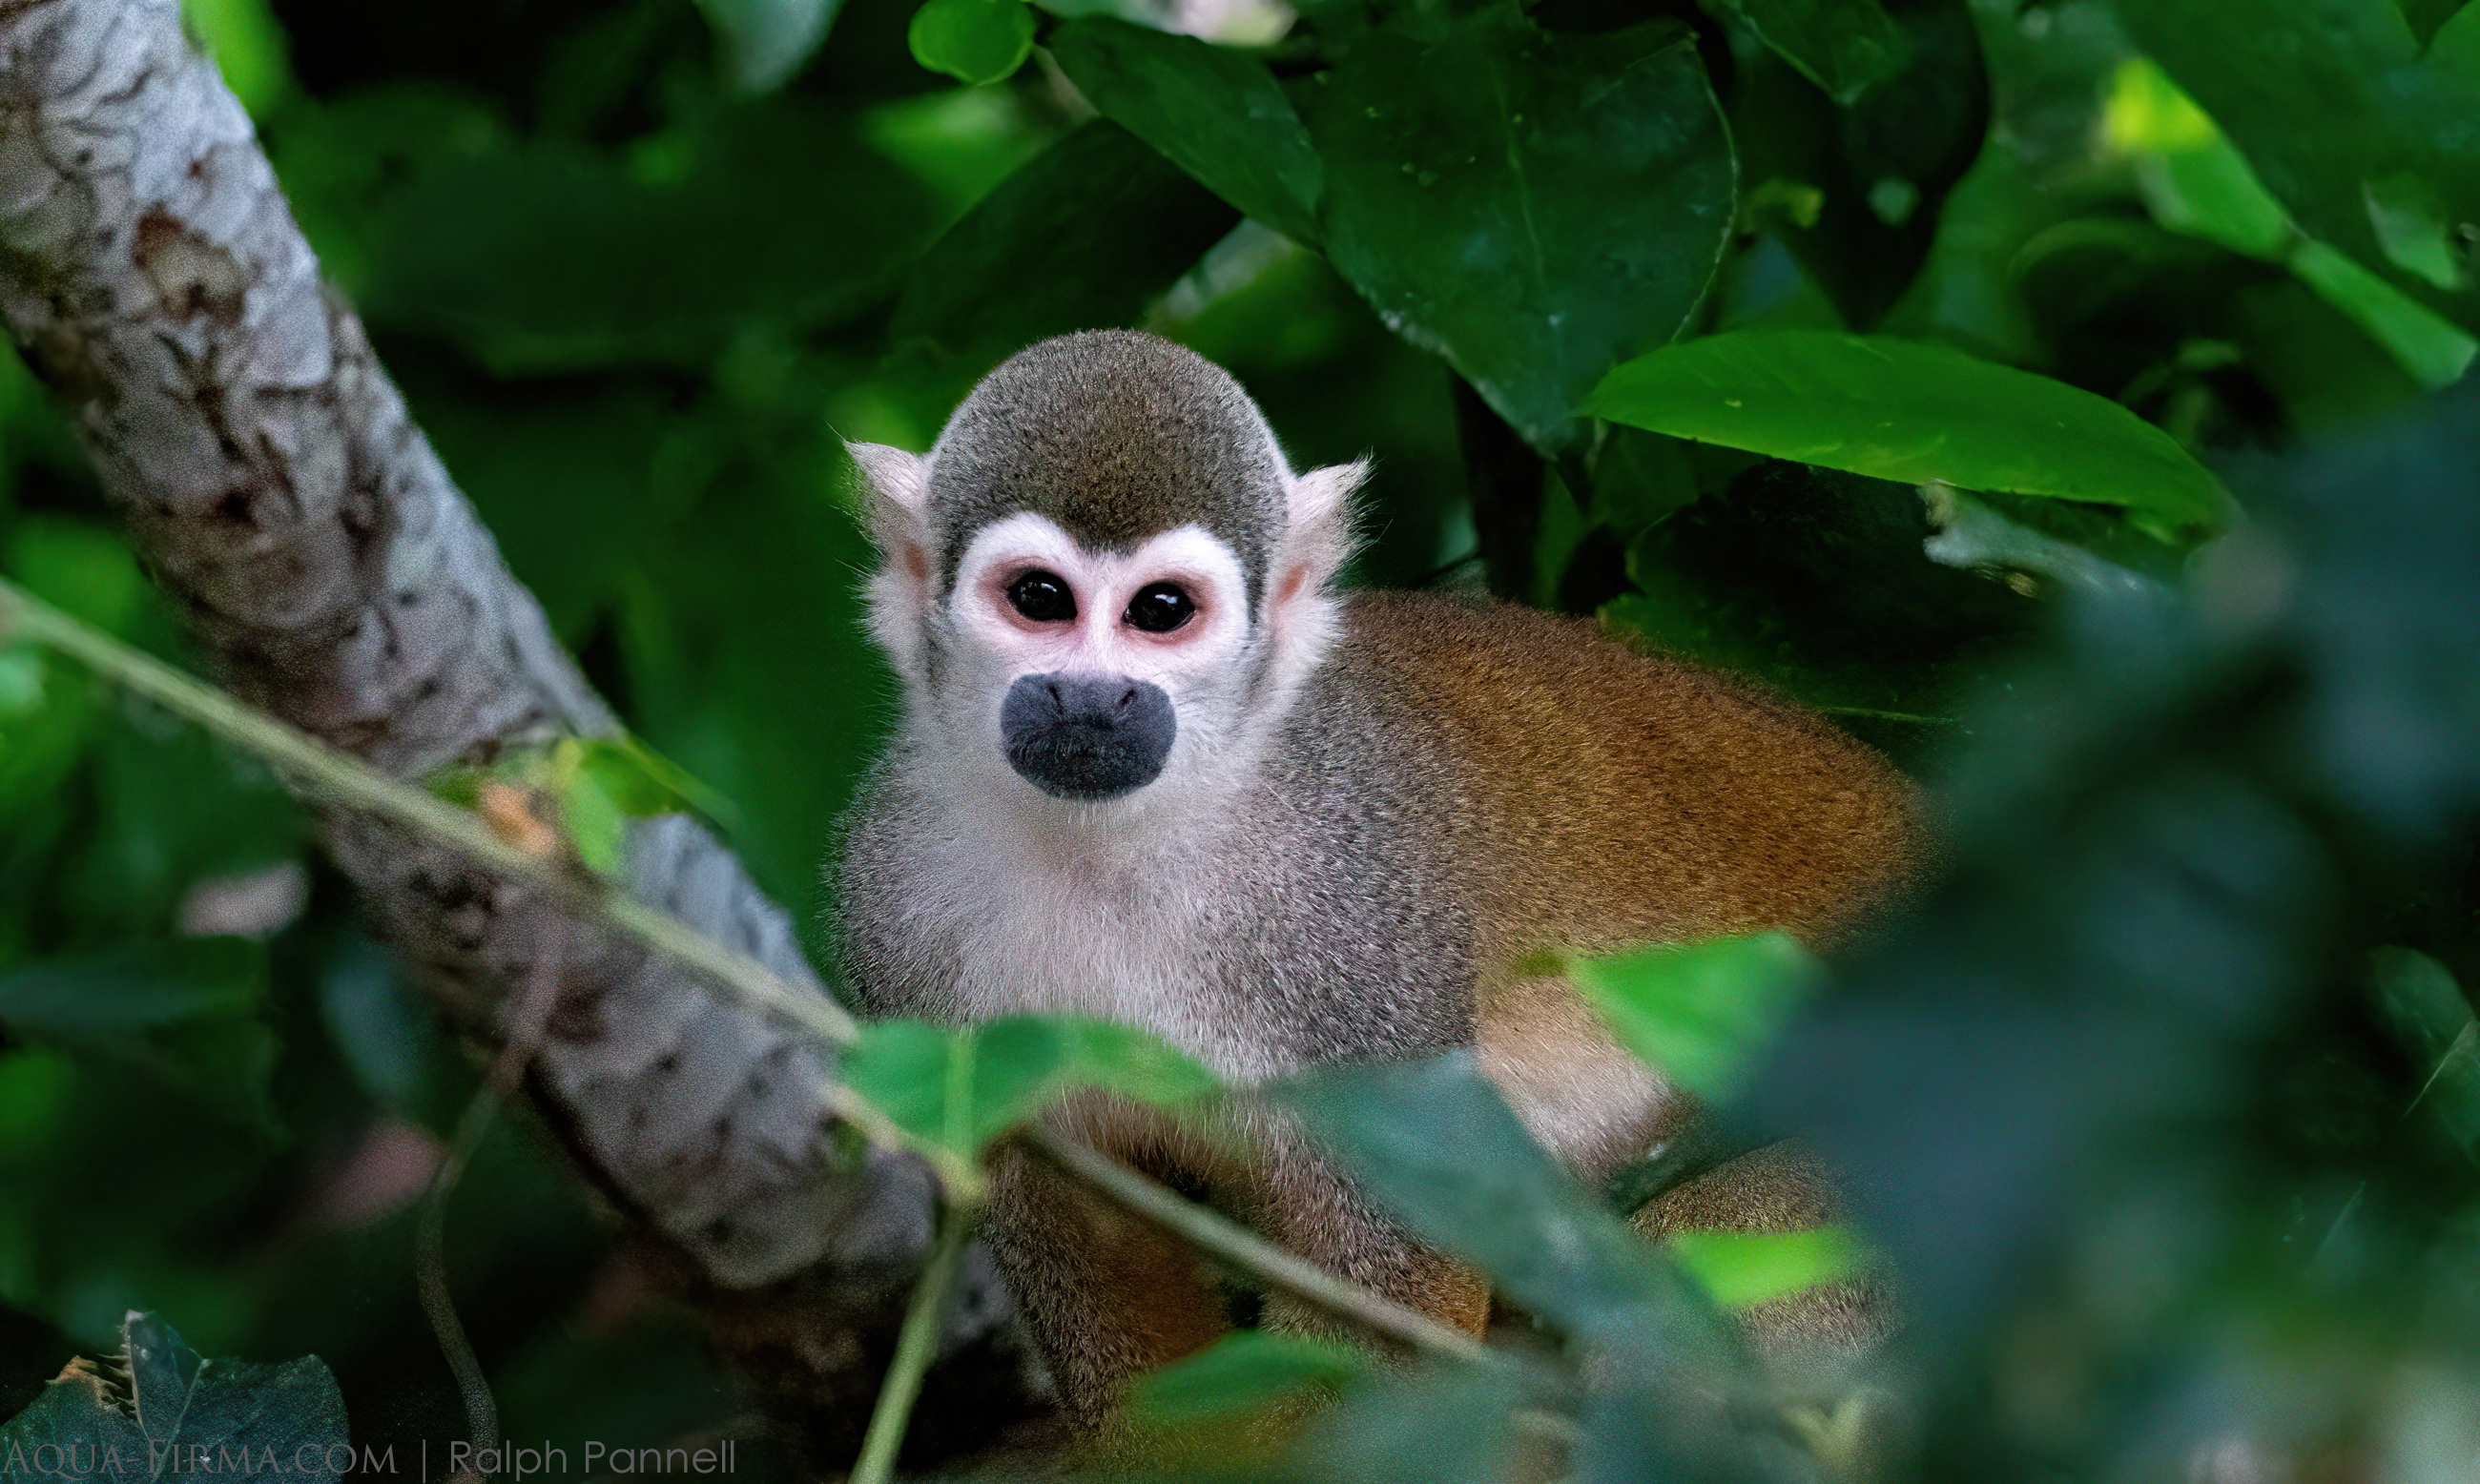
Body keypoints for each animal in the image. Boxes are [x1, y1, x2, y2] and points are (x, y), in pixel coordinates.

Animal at [837, 327, 1914, 1429]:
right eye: (1040, 599)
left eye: (1161, 611)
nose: (1090, 697)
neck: (1113, 842)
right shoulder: (894, 905)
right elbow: (1081, 1230)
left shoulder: (1358, 928)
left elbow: (1396, 1251)